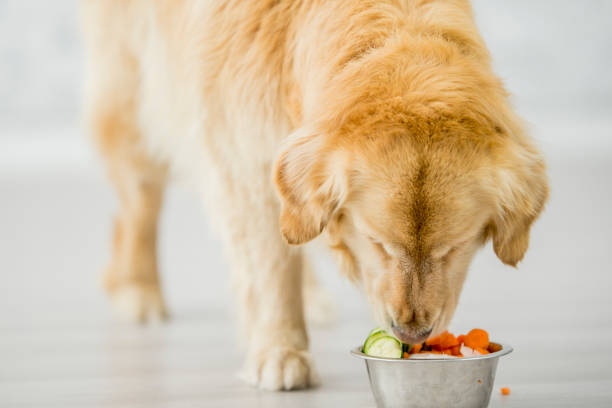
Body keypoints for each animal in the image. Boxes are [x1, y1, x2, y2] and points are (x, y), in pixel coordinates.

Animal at [82, 0, 548, 390]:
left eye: (452, 248)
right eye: (377, 243)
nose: (410, 334)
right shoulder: (247, 161)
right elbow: (271, 268)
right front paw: (281, 352)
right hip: (134, 99)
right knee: (139, 206)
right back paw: (138, 288)